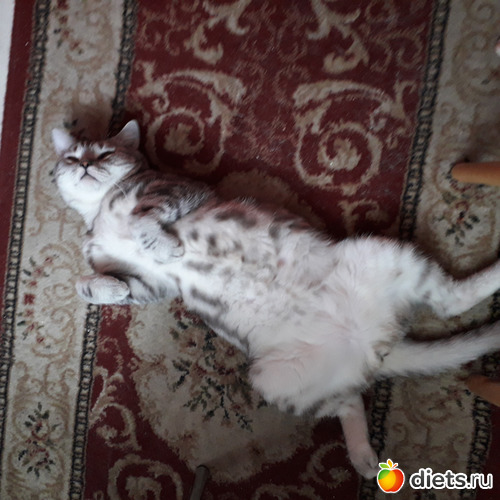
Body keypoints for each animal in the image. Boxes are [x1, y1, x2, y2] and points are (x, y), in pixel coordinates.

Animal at [52, 120, 500, 479]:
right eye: (72, 158)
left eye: (105, 152)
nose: (86, 165)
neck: (100, 211)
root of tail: (376, 343)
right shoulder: (153, 283)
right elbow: (98, 283)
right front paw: (105, 287)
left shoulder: (174, 192)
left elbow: (145, 218)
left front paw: (164, 245)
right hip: (280, 380)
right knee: (349, 399)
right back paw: (363, 455)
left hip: (384, 253)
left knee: (454, 300)